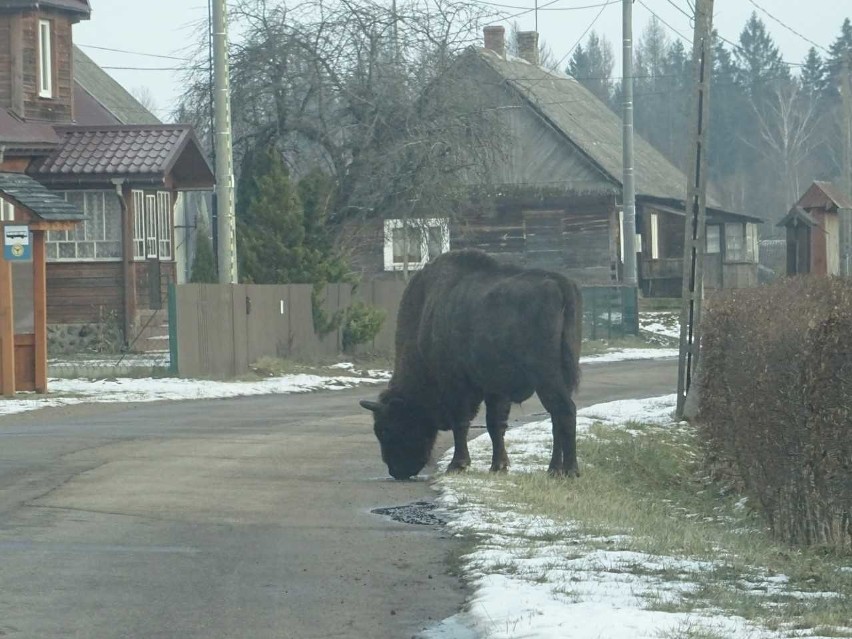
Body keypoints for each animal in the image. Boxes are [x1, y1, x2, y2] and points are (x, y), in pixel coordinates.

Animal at [360, 250, 584, 480]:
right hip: (560, 377)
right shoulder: (495, 390)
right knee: (556, 418)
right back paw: (554, 470)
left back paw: (570, 470)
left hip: (547, 378)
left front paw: (457, 464)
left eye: (386, 428)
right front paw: (498, 466)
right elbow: (495, 424)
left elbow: (461, 423)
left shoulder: (457, 386)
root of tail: (559, 283)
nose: (396, 471)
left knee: (565, 412)